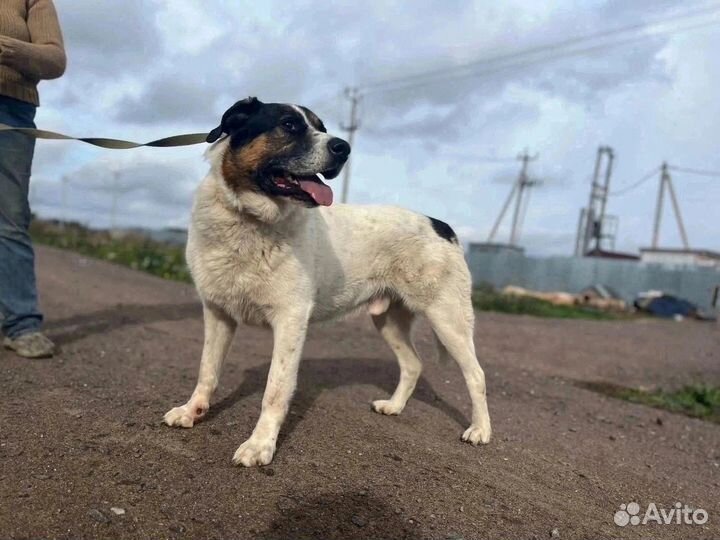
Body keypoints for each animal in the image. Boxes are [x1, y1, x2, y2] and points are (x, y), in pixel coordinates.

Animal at [162, 96, 490, 464]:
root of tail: (441, 225)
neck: (250, 221)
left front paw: (260, 445)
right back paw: (393, 406)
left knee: (476, 375)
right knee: (413, 365)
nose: (344, 148)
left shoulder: (290, 320)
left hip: (448, 319)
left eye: (323, 127)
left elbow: (275, 389)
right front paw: (192, 411)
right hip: (389, 320)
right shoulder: (217, 313)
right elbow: (207, 370)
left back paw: (480, 431)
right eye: (289, 125)